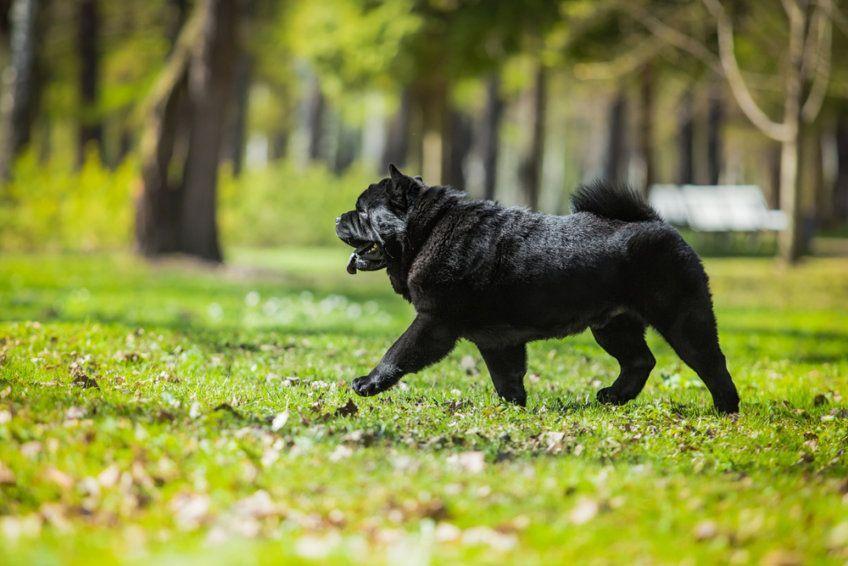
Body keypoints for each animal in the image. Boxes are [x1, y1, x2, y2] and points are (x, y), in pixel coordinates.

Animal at [334, 166, 740, 414]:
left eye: (362, 212)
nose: (339, 217)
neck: (427, 230)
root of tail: (661, 225)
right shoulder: (497, 341)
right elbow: (506, 377)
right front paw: (515, 406)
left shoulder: (434, 321)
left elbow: (398, 352)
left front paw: (368, 383)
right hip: (612, 326)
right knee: (640, 361)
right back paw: (613, 396)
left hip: (681, 321)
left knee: (710, 362)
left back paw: (726, 407)